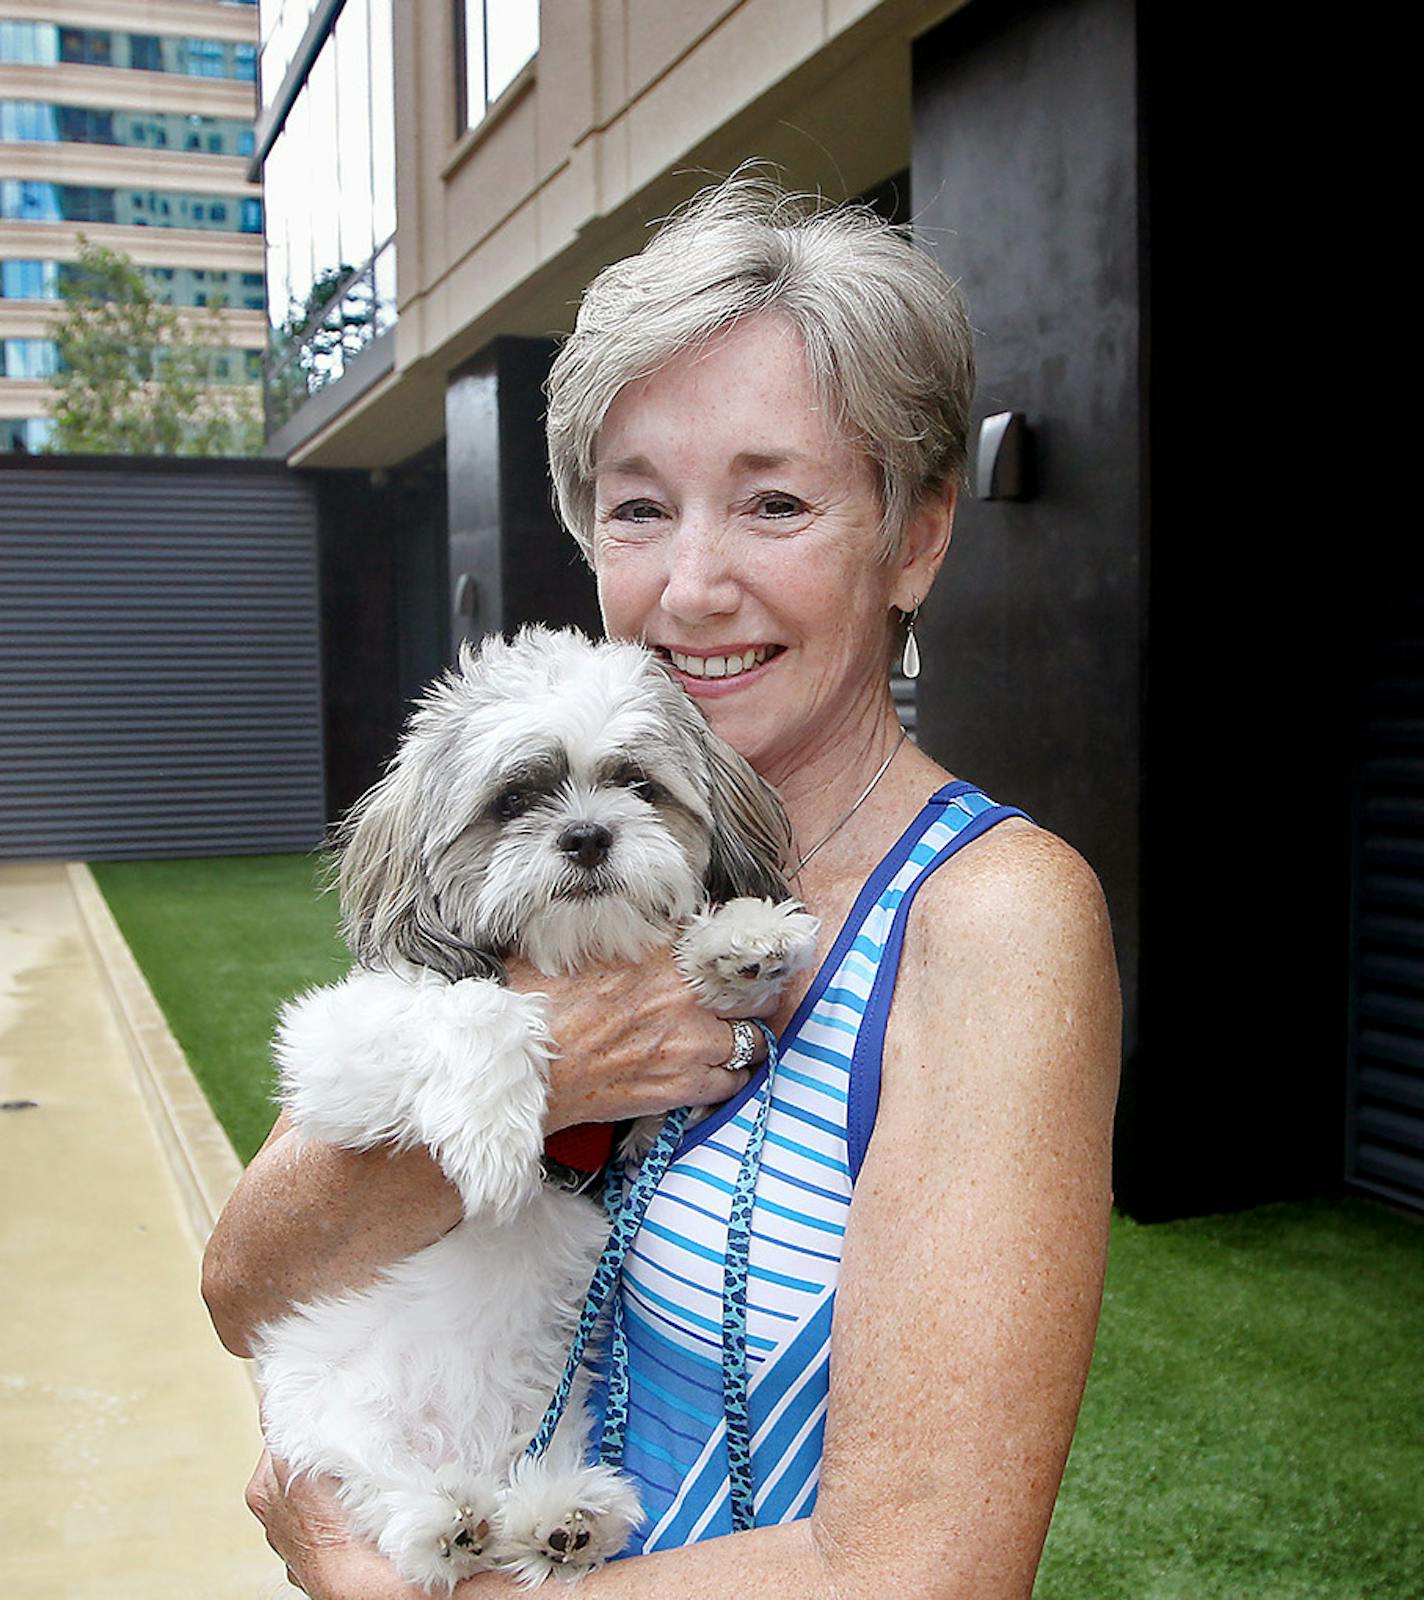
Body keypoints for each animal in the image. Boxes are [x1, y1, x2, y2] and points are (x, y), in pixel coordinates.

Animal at [249, 627, 816, 1587]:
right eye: (513, 799)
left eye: (637, 785)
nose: (586, 834)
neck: (570, 958)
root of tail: (467, 1450)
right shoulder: (338, 1051)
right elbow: (476, 1003)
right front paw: (491, 1134)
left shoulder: (640, 1133)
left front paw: (737, 939)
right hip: (329, 1411)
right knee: (380, 1488)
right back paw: (442, 1520)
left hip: (566, 1406)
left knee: (531, 1485)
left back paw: (562, 1516)